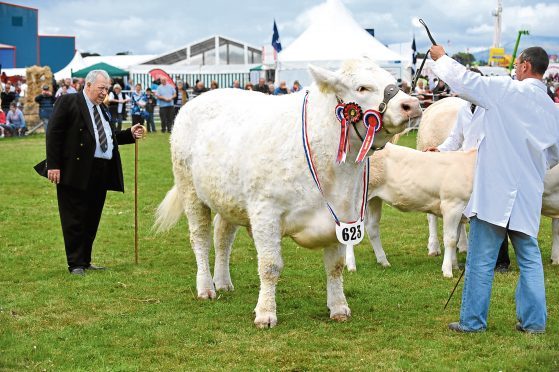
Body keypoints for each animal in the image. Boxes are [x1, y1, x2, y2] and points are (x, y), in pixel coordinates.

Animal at [155, 58, 422, 328]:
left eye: (394, 80)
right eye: (362, 88)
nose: (412, 105)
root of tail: (202, 97)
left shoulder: (343, 216)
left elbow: (335, 266)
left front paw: (338, 307)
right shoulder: (266, 213)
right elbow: (270, 266)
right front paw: (265, 313)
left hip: (227, 198)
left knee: (222, 237)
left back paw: (223, 282)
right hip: (190, 190)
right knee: (200, 238)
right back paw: (206, 287)